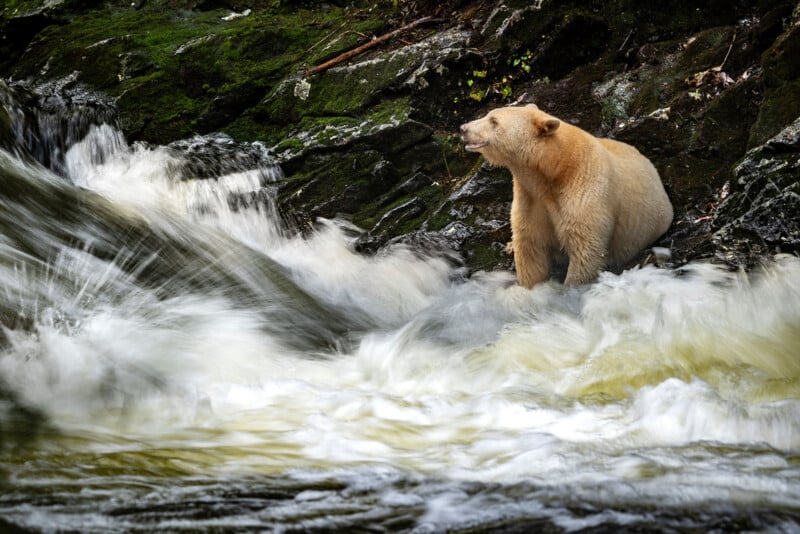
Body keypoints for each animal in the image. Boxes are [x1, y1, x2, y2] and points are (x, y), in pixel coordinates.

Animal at [460, 104, 673, 288]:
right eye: (489, 115)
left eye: (494, 121)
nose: (463, 128)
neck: (554, 170)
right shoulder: (530, 197)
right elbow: (530, 248)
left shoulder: (584, 193)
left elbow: (586, 250)